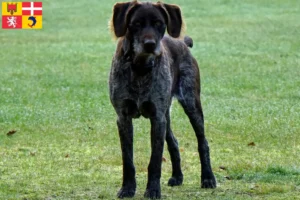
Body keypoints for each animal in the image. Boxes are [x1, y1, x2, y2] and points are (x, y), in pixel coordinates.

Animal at [109, 0, 217, 198]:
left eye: (159, 23)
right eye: (136, 23)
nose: (150, 44)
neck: (140, 68)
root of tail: (182, 42)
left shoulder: (157, 118)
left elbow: (155, 160)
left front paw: (152, 190)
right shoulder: (124, 118)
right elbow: (127, 160)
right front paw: (127, 188)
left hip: (191, 104)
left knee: (203, 143)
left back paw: (208, 178)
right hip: (166, 115)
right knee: (173, 142)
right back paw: (177, 176)